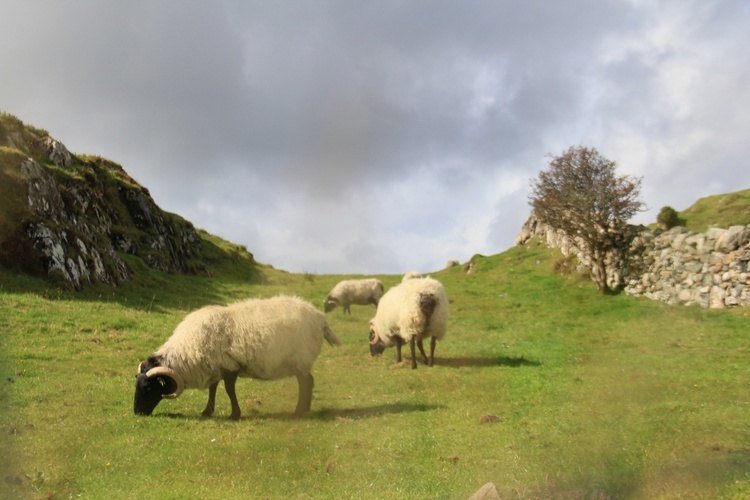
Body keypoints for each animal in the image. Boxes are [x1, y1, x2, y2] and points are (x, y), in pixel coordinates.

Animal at [135, 294, 344, 420]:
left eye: (148, 388)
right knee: (309, 381)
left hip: (301, 357)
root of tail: (320, 318)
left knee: (305, 383)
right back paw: (305, 409)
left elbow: (228, 390)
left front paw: (234, 414)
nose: (137, 413)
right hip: (302, 361)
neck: (189, 349)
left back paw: (298, 412)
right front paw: (207, 411)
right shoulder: (216, 365)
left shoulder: (230, 366)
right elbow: (213, 389)